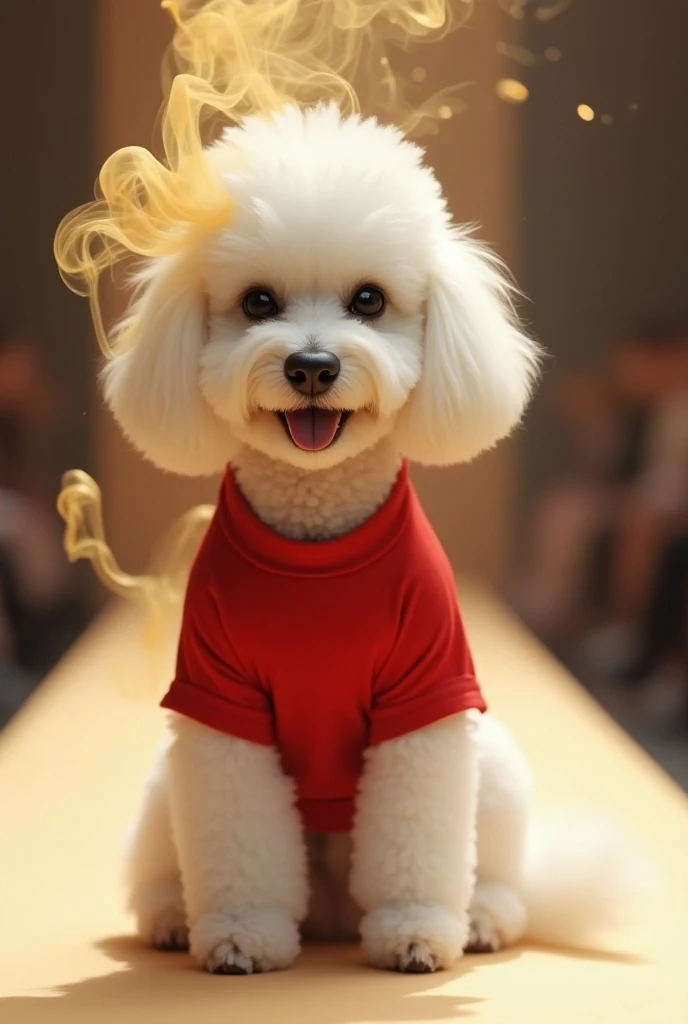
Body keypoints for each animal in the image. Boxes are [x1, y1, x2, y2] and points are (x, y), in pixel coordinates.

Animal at [107, 103, 638, 974]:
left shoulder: (428, 694)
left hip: (491, 765)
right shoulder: (220, 707)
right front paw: (241, 934)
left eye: (368, 299)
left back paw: (481, 918)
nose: (313, 366)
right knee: (161, 858)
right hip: (163, 780)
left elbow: (417, 831)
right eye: (258, 302)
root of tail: (328, 910)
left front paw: (418, 931)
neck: (318, 540)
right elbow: (237, 834)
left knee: (501, 876)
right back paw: (175, 916)